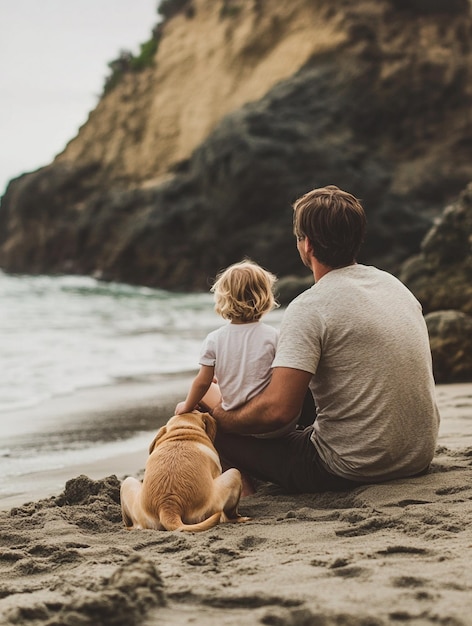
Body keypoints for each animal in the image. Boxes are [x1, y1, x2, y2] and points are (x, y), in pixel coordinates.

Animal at [120, 410, 249, 532]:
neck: (183, 429)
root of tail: (168, 508)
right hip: (234, 475)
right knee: (228, 514)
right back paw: (239, 518)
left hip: (127, 483)